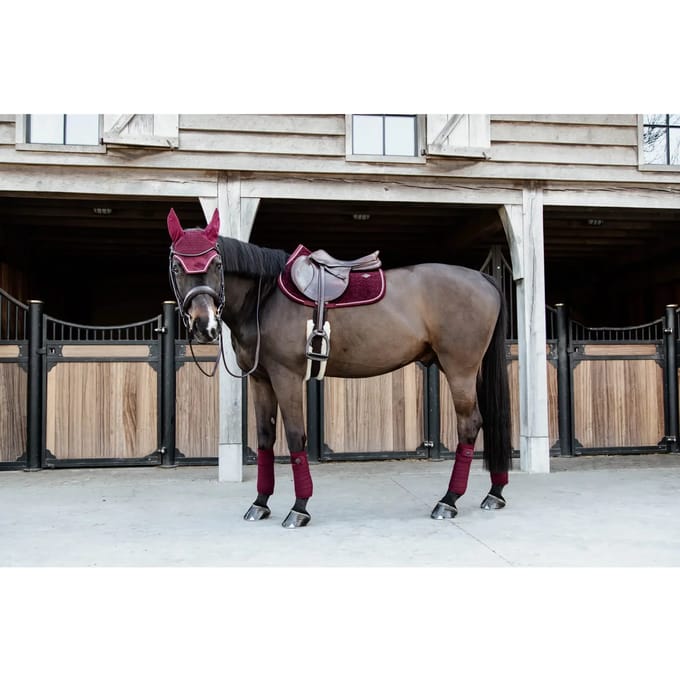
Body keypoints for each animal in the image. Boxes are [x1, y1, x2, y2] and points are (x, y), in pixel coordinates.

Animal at [167, 208, 512, 528]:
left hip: (459, 369)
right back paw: (494, 494)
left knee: (469, 425)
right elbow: (265, 438)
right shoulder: (261, 379)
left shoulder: (286, 377)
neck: (265, 298)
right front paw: (260, 503)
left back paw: (448, 501)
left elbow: (295, 437)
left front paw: (299, 508)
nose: (204, 326)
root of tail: (483, 278)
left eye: (217, 264)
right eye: (176, 266)